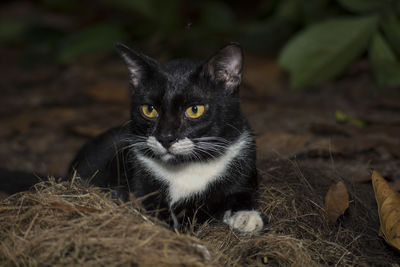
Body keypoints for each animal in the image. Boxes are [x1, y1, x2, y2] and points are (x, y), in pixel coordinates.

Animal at [70, 43, 264, 233]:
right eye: (149, 109)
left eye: (195, 110)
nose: (165, 137)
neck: (187, 167)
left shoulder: (242, 161)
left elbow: (239, 193)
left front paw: (247, 216)